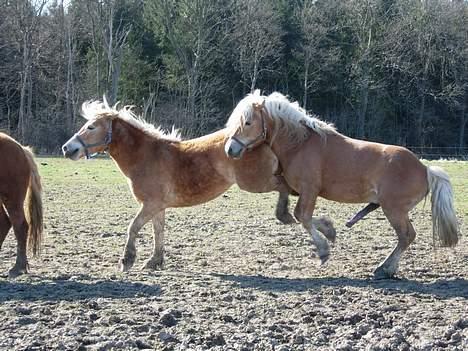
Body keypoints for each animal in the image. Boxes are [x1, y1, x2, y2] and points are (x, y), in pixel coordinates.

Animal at [61, 102, 336, 272]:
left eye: (91, 127)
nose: (67, 148)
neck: (146, 155)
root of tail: (261, 138)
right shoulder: (157, 206)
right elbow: (158, 232)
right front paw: (154, 261)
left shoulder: (149, 205)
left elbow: (133, 228)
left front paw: (127, 261)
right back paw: (324, 230)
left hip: (256, 182)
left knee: (288, 191)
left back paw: (311, 228)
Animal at [225, 91, 458, 280]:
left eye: (248, 122)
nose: (230, 149)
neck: (300, 144)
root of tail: (424, 168)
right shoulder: (294, 189)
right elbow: (286, 213)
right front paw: (329, 231)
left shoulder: (310, 190)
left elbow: (303, 216)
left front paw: (324, 246)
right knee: (406, 237)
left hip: (394, 210)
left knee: (407, 236)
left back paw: (384, 269)